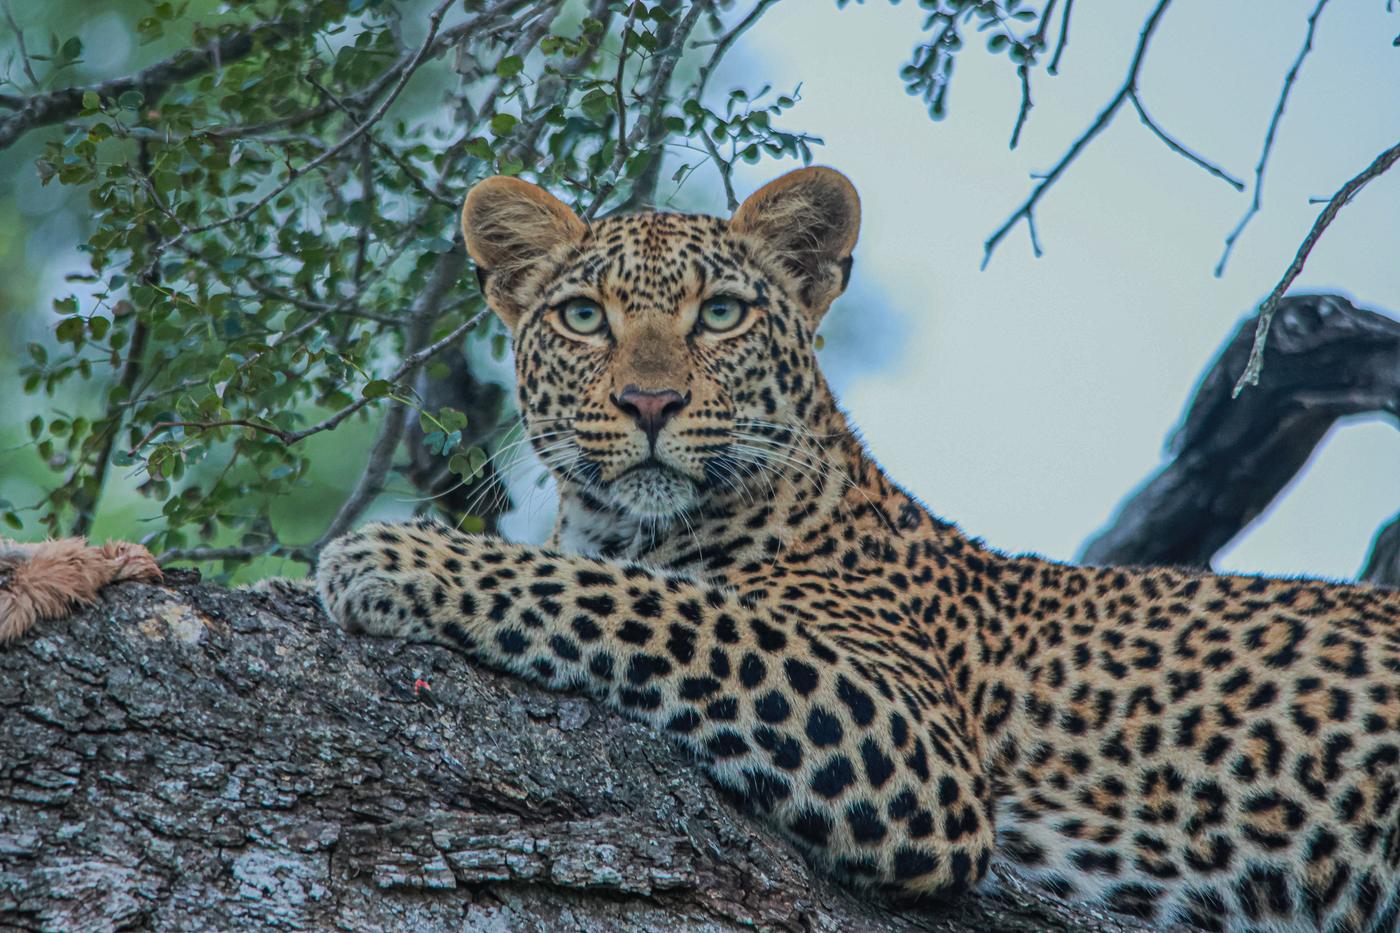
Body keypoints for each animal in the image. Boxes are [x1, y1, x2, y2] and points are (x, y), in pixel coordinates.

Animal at [314, 166, 1400, 933]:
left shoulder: (923, 752)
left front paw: (397, 558)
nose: (650, 403)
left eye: (720, 313)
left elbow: (648, 602)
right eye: (584, 317)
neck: (621, 523)